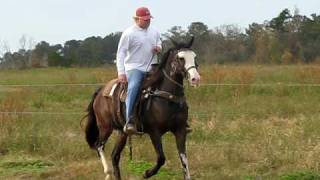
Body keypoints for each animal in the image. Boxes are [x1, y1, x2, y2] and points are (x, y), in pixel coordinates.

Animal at [85, 37, 200, 179]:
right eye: (181, 58)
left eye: (194, 56)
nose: (195, 78)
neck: (167, 97)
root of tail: (100, 91)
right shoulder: (154, 132)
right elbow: (161, 158)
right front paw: (147, 173)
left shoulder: (180, 130)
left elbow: (184, 161)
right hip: (105, 126)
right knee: (99, 146)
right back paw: (107, 172)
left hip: (122, 132)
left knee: (115, 156)